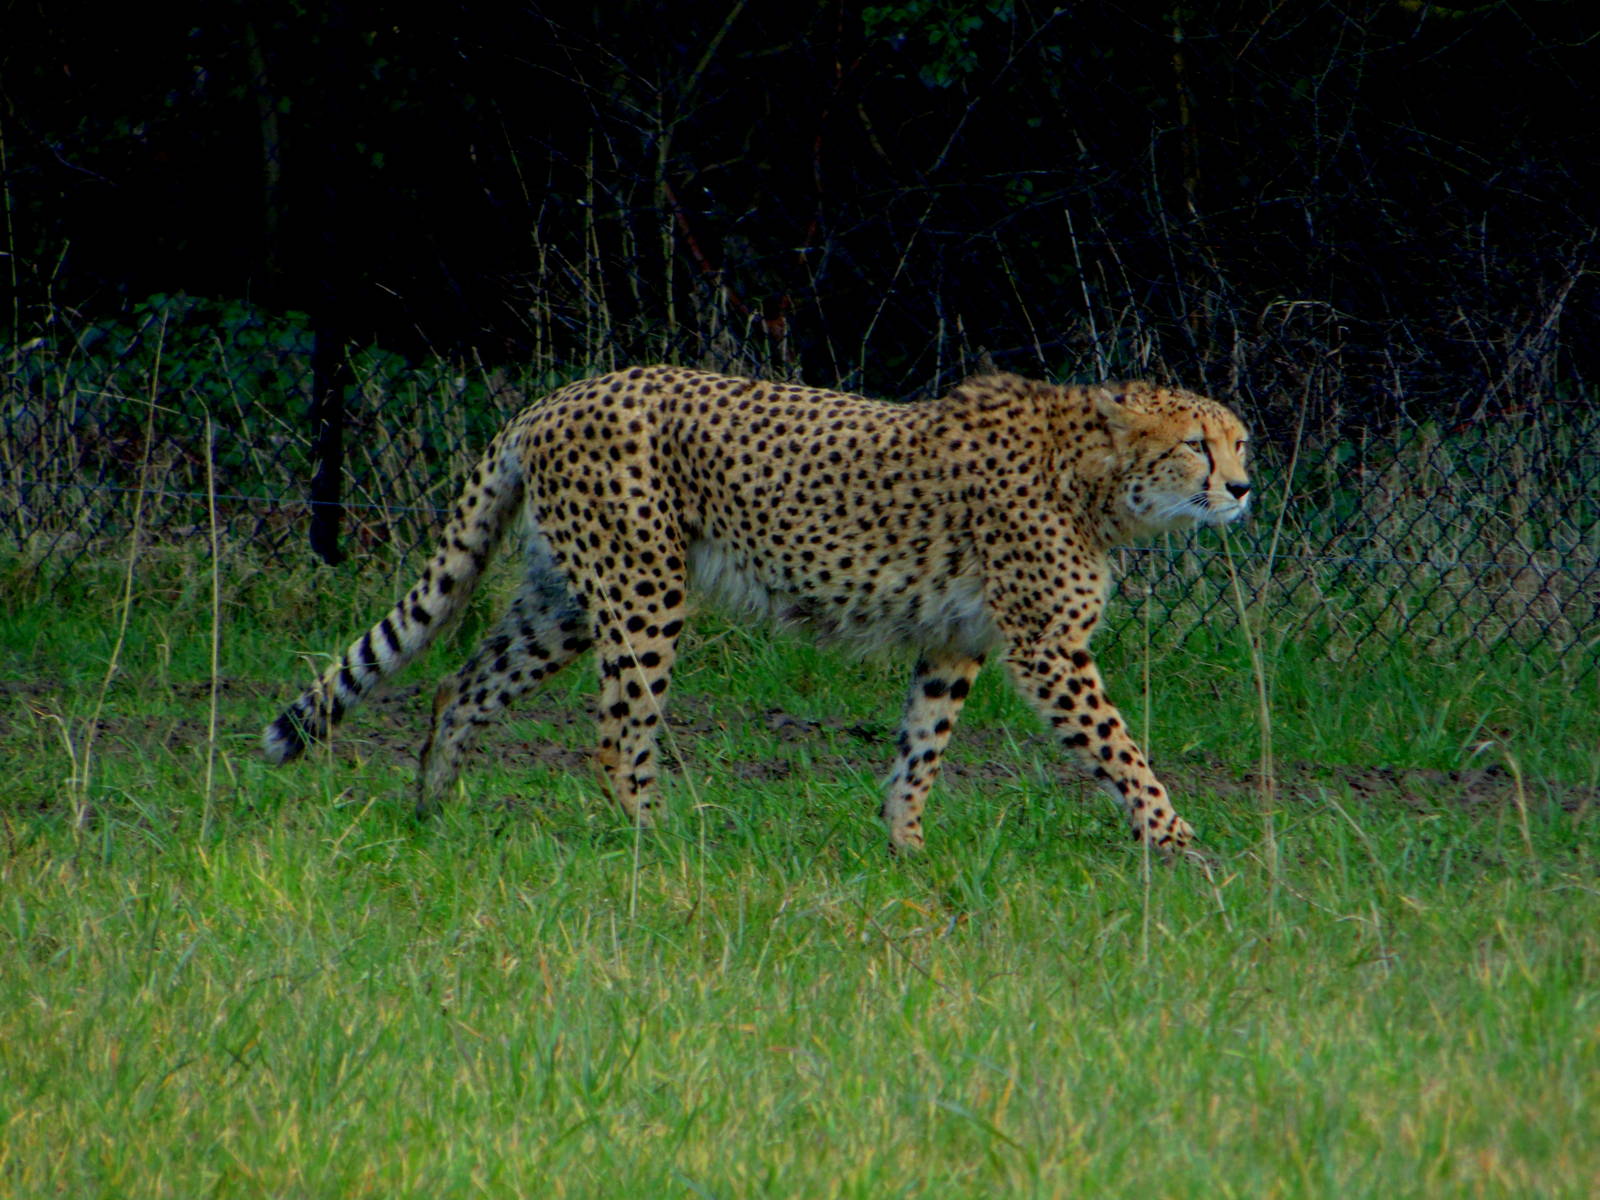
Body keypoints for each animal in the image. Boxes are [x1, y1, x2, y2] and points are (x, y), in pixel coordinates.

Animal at [262, 365, 1250, 854]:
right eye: (1197, 445)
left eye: (1240, 442)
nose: (1243, 488)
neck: (1097, 478)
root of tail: (562, 392)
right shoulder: (1046, 648)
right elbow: (1122, 751)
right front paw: (1180, 843)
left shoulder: (953, 641)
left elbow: (920, 749)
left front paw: (905, 849)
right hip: (644, 588)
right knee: (618, 735)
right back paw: (664, 843)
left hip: (565, 600)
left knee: (460, 689)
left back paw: (433, 818)